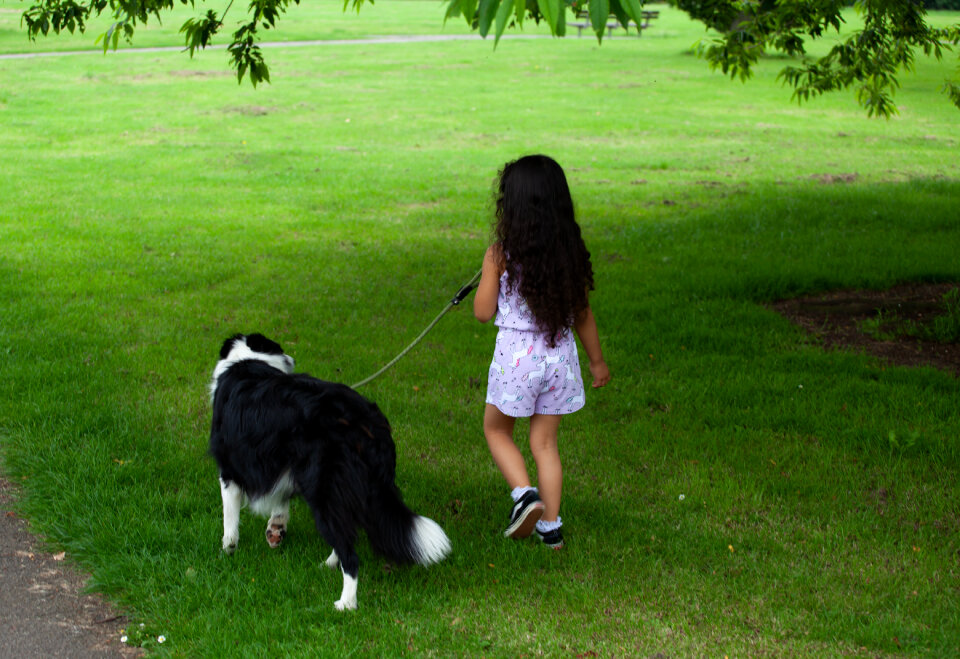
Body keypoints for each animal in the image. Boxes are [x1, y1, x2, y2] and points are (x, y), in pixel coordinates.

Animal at [210, 336, 450, 612]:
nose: (292, 359)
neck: (247, 359)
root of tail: (366, 422)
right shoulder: (284, 465)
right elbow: (281, 501)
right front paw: (275, 529)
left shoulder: (229, 469)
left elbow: (230, 517)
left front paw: (228, 550)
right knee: (347, 533)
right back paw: (328, 565)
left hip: (325, 489)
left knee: (351, 554)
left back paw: (345, 603)